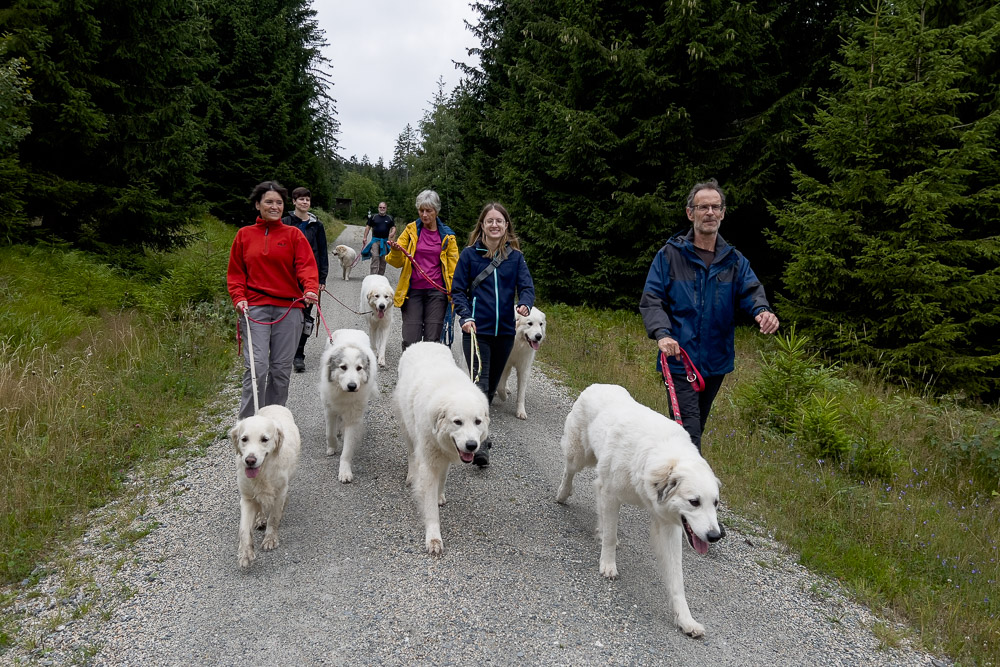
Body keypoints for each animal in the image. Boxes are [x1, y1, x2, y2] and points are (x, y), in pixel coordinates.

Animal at [230, 404, 300, 572]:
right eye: (244, 439)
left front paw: (270, 539)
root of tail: (273, 405)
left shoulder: (280, 492)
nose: (250, 460)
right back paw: (260, 518)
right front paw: (245, 554)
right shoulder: (247, 498)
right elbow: (244, 529)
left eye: (264, 439)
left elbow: (274, 517)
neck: (263, 472)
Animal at [320, 330, 378, 482]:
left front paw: (345, 472)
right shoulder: (329, 409)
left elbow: (347, 450)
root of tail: (351, 330)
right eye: (343, 367)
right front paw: (332, 447)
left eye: (359, 368)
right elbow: (329, 433)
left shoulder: (353, 418)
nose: (352, 386)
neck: (343, 392)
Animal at [396, 342, 494, 556]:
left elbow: (443, 479)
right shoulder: (429, 463)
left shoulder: (446, 455)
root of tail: (423, 342)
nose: (472, 445)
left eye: (477, 422)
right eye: (457, 422)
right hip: (408, 430)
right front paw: (434, 538)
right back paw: (410, 476)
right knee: (411, 454)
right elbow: (431, 507)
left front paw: (440, 495)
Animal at [556, 384, 728, 640]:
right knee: (570, 470)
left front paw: (685, 620)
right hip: (580, 454)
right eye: (694, 502)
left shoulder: (668, 526)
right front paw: (608, 564)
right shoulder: (612, 494)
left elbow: (676, 579)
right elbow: (611, 537)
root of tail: (599, 385)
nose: (715, 536)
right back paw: (563, 493)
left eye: (715, 503)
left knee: (597, 491)